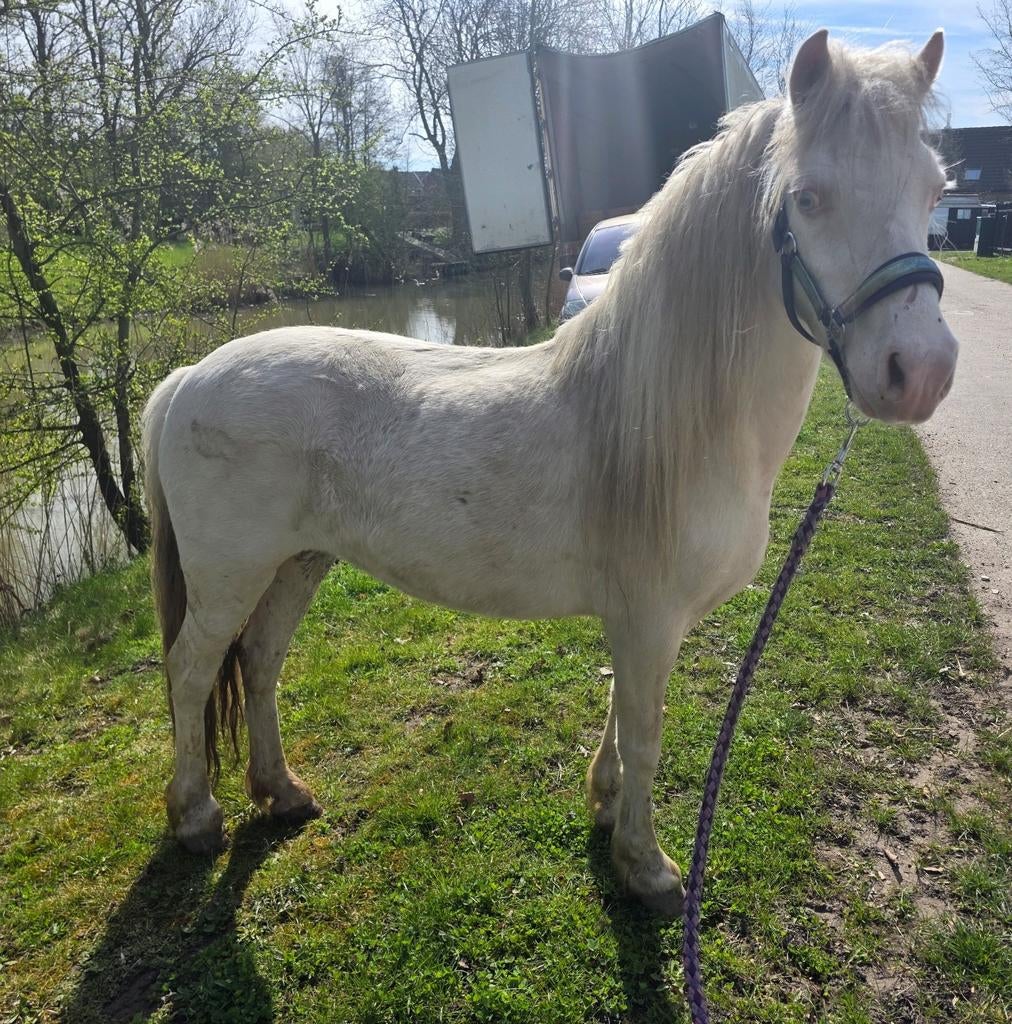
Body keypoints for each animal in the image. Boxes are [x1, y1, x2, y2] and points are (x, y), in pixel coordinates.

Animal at [143, 30, 958, 916]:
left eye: (934, 190)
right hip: (231, 574)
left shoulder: (638, 621)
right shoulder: (648, 618)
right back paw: (196, 817)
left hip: (298, 562)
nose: (921, 371)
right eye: (808, 198)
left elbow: (619, 715)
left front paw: (605, 806)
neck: (680, 424)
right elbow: (645, 728)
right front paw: (647, 866)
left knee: (258, 661)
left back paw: (281, 791)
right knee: (191, 670)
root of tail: (186, 378)